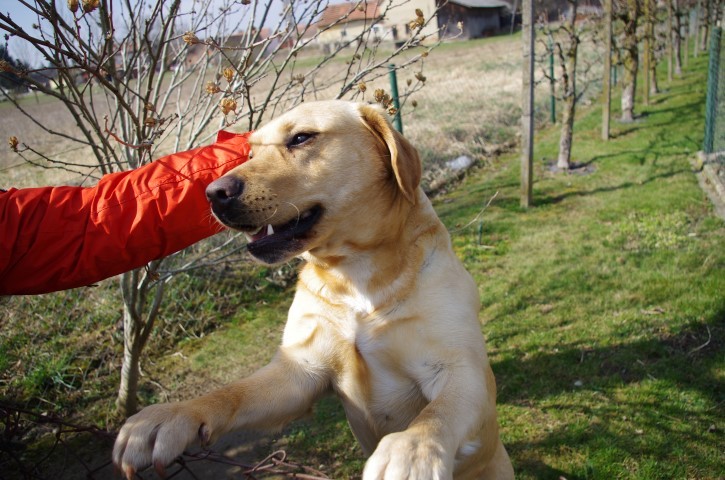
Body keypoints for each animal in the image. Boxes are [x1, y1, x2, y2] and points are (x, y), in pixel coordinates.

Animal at [111, 99, 516, 478]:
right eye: (251, 153)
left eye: (301, 138)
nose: (213, 193)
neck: (355, 277)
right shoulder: (298, 371)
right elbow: (230, 393)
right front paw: (171, 416)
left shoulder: (461, 369)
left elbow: (436, 415)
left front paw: (411, 452)